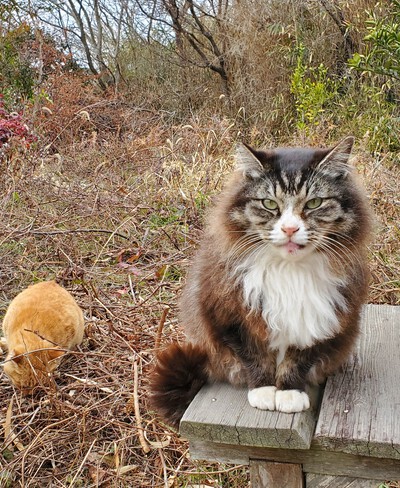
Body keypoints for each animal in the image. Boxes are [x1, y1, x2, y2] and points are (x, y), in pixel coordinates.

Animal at [150, 136, 372, 428]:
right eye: (269, 204)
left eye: (314, 203)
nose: (289, 228)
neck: (289, 270)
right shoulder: (230, 315)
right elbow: (255, 357)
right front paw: (265, 391)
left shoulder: (321, 320)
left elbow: (298, 359)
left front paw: (289, 392)